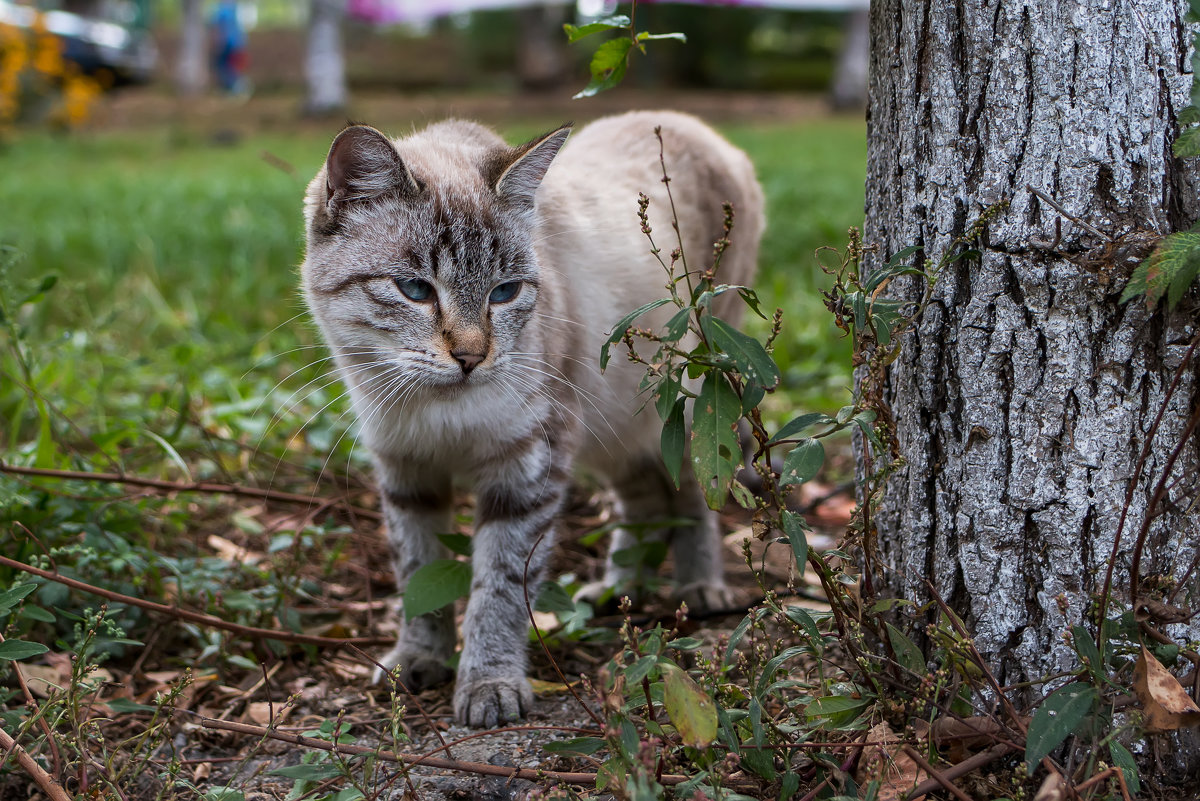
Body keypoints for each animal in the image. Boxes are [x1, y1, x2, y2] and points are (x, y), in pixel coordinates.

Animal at [304, 109, 763, 729]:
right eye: (415, 290)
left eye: (505, 293)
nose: (471, 358)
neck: (438, 409)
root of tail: (690, 122)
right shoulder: (407, 471)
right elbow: (418, 576)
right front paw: (419, 659)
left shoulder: (528, 467)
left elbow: (498, 588)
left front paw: (488, 686)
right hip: (613, 423)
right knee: (643, 495)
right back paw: (620, 590)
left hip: (685, 404)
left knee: (693, 489)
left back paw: (700, 586)